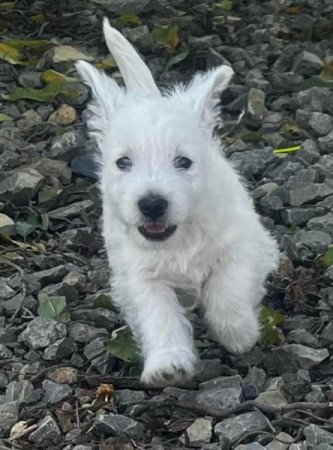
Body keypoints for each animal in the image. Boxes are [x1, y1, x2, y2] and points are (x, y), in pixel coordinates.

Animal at [76, 19, 278, 386]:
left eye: (183, 161)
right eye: (123, 162)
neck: (181, 237)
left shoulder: (242, 245)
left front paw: (239, 333)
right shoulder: (140, 276)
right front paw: (167, 364)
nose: (152, 204)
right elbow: (158, 315)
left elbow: (228, 289)